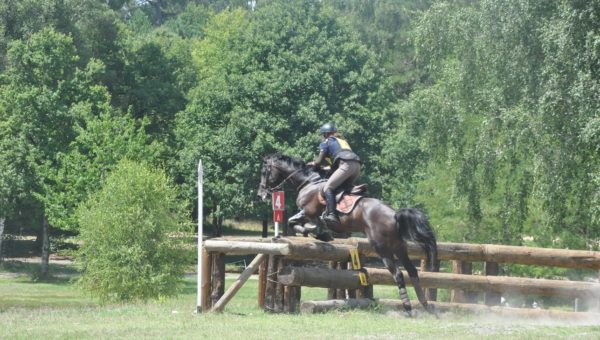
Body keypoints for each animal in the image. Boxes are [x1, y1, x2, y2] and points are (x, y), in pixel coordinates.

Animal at [255, 153, 438, 314]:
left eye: (264, 172)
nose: (261, 194)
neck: (308, 182)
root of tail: (394, 215)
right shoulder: (309, 214)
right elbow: (296, 222)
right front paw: (319, 233)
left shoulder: (308, 212)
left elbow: (294, 222)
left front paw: (318, 232)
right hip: (399, 247)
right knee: (412, 272)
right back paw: (426, 306)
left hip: (382, 248)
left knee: (398, 274)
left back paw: (408, 308)